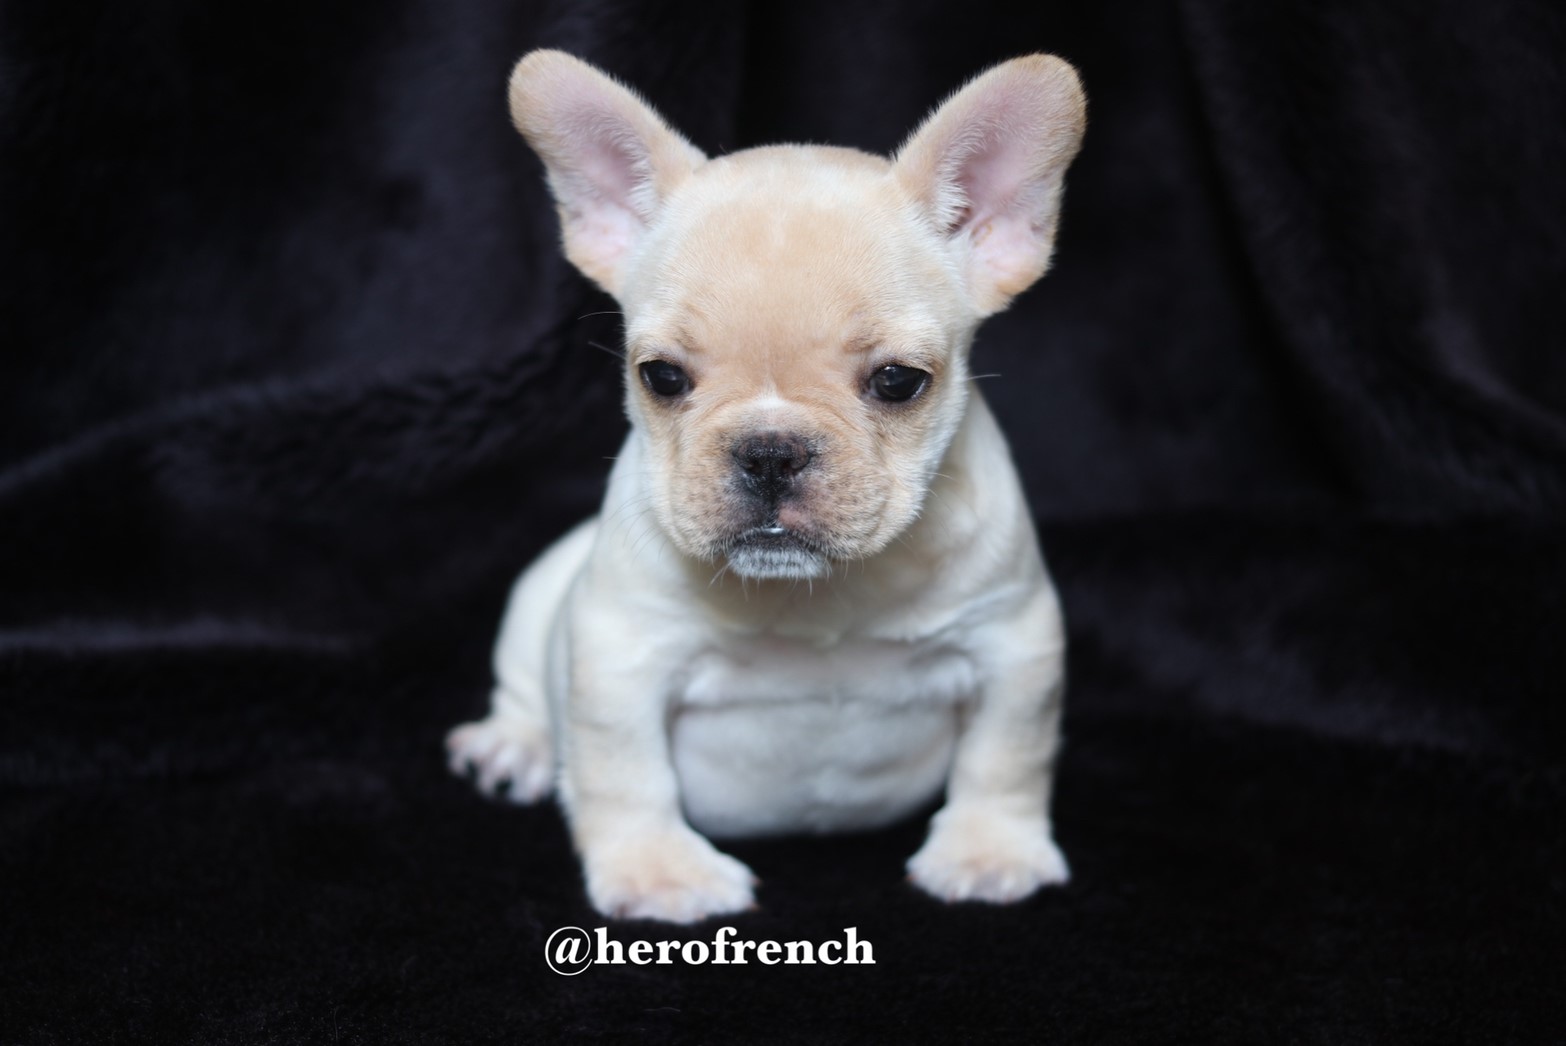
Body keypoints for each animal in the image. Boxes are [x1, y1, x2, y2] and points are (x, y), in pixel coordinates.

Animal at [446, 49, 1087, 923]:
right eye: (661, 377)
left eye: (898, 382)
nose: (771, 451)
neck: (819, 593)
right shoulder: (621, 657)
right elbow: (626, 775)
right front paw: (658, 873)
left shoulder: (1013, 643)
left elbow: (1008, 755)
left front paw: (990, 851)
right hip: (537, 598)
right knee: (522, 689)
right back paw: (512, 745)